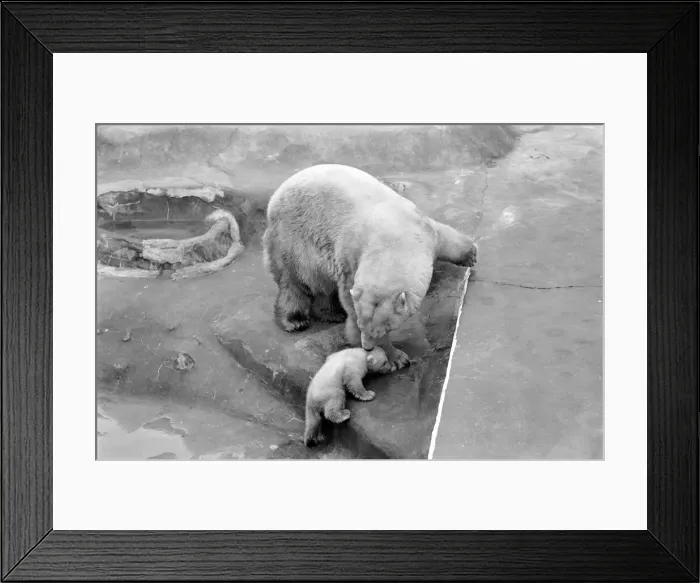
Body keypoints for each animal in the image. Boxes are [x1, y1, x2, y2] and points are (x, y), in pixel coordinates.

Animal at [262, 163, 477, 371]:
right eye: (364, 326)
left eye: (381, 329)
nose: (367, 346)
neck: (393, 238)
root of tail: (275, 196)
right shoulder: (350, 259)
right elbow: (348, 297)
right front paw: (396, 358)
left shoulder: (421, 227)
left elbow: (445, 237)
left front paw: (471, 255)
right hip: (293, 237)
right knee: (294, 281)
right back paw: (294, 321)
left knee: (322, 284)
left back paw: (332, 313)